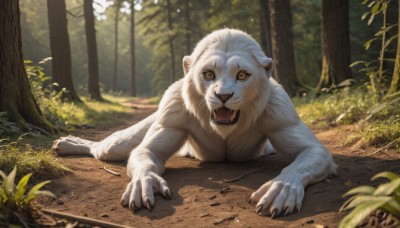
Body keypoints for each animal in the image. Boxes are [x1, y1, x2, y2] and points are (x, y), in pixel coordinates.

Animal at [52, 28, 334, 217]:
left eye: (242, 75)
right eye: (208, 74)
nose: (223, 95)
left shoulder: (282, 113)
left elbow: (306, 156)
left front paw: (282, 188)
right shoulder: (171, 111)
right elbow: (147, 153)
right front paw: (144, 183)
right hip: (123, 141)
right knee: (106, 146)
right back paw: (67, 143)